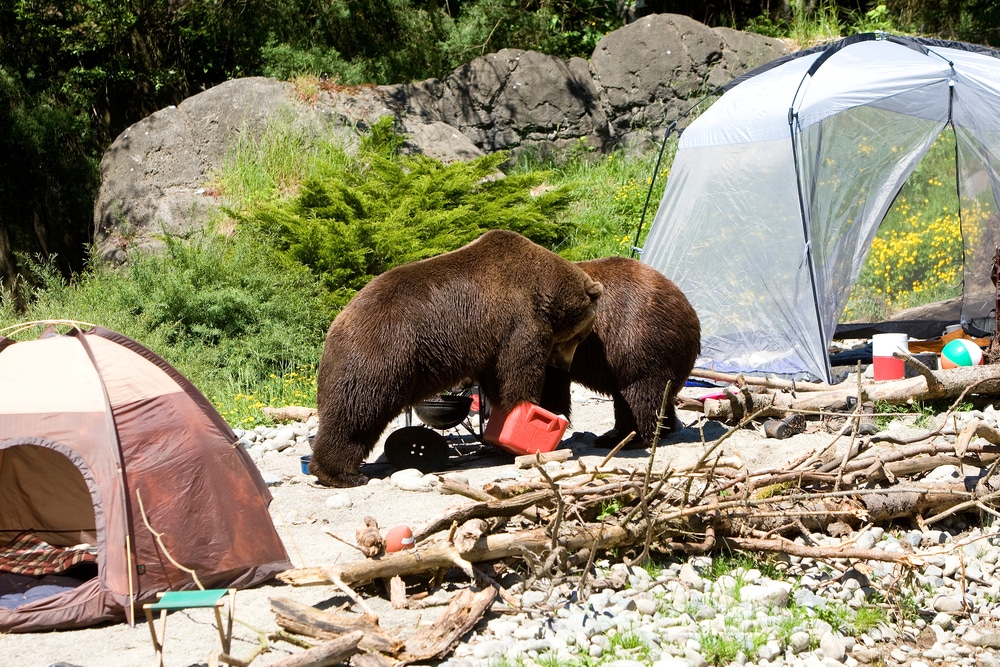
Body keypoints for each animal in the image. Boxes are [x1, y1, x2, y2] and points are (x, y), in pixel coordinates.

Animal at [310, 229, 604, 487]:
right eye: (579, 336)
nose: (563, 364)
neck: (543, 290)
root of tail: (337, 323)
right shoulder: (519, 320)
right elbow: (518, 371)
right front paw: (529, 413)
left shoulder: (491, 340)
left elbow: (497, 378)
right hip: (382, 355)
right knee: (356, 412)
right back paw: (342, 474)